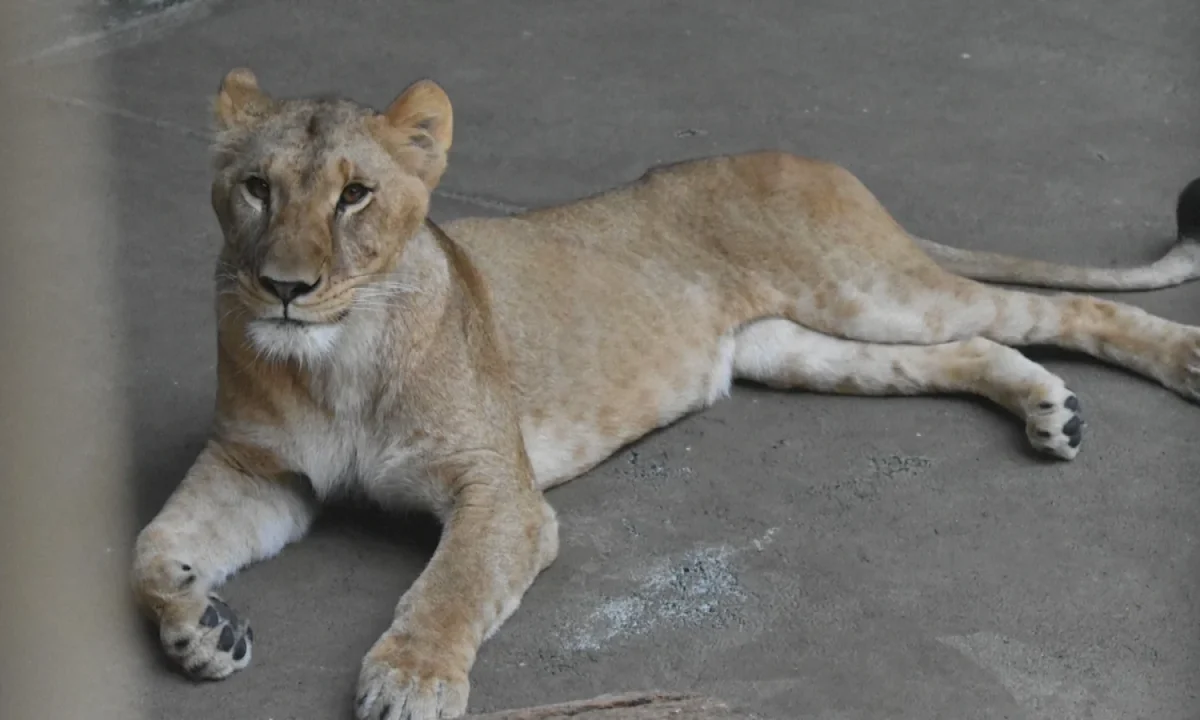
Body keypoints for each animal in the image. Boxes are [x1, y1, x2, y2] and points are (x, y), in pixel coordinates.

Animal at [132, 68, 1200, 720]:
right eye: (258, 188)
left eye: (355, 195)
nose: (284, 287)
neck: (334, 358)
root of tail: (807, 158)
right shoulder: (260, 470)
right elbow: (151, 550)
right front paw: (202, 627)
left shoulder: (499, 492)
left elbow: (452, 584)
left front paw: (412, 680)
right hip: (800, 346)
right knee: (976, 344)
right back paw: (1051, 409)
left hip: (873, 290)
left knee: (1048, 305)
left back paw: (1180, 363)